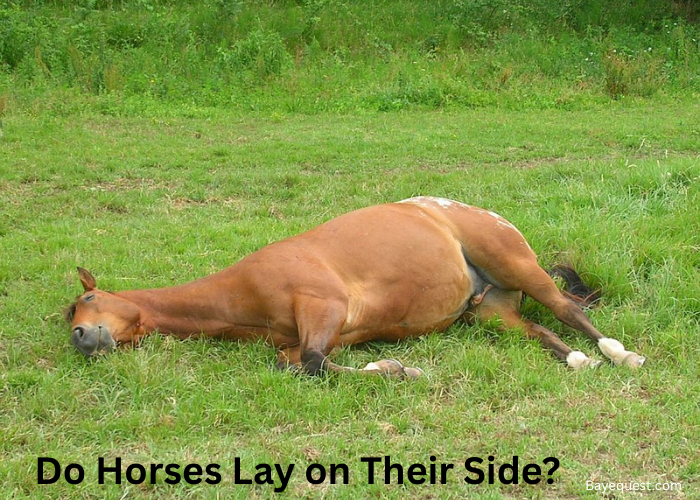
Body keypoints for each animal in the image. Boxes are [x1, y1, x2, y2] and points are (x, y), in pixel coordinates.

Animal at [65, 196, 645, 377]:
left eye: (87, 300)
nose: (80, 338)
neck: (240, 293)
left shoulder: (323, 308)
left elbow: (314, 365)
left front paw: (400, 371)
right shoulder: (312, 337)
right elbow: (302, 364)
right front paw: (391, 367)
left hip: (517, 265)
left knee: (567, 310)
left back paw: (621, 355)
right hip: (490, 312)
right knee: (543, 332)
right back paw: (578, 361)